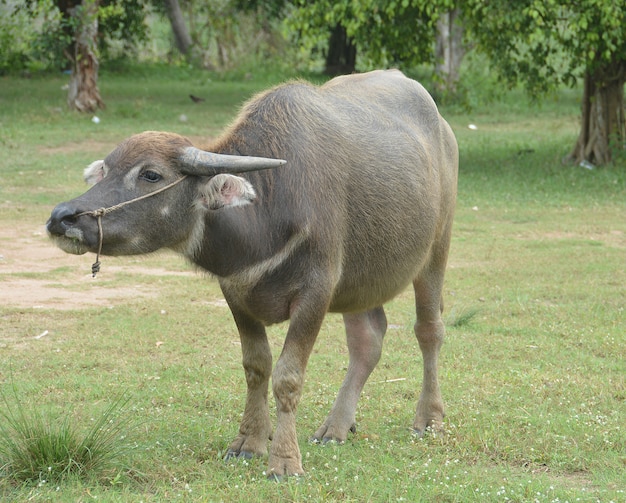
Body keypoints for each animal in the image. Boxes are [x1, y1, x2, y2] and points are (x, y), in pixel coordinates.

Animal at [47, 69, 458, 478]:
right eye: (104, 171)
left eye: (150, 174)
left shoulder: (317, 291)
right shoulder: (236, 292)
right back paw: (336, 427)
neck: (268, 210)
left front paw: (285, 461)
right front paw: (249, 442)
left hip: (436, 249)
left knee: (429, 330)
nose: (62, 217)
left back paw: (429, 419)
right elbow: (256, 367)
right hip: (360, 282)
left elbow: (288, 376)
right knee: (367, 341)